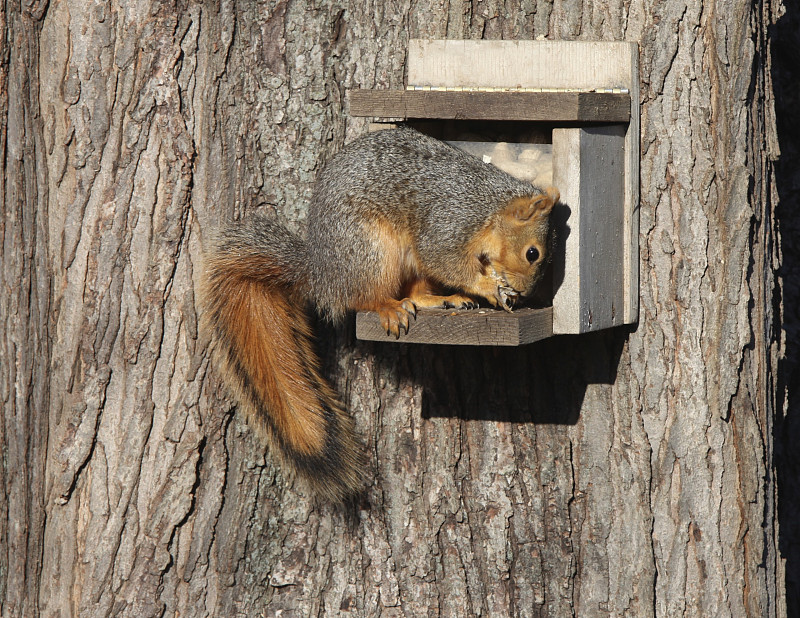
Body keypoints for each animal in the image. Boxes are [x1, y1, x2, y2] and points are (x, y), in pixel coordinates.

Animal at [203, 126, 560, 500]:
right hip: (371, 250)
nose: (525, 293)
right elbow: (445, 260)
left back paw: (442, 299)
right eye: (533, 253)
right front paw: (490, 287)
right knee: (363, 297)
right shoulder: (449, 225)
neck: (489, 209)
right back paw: (389, 307)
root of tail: (322, 275)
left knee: (415, 291)